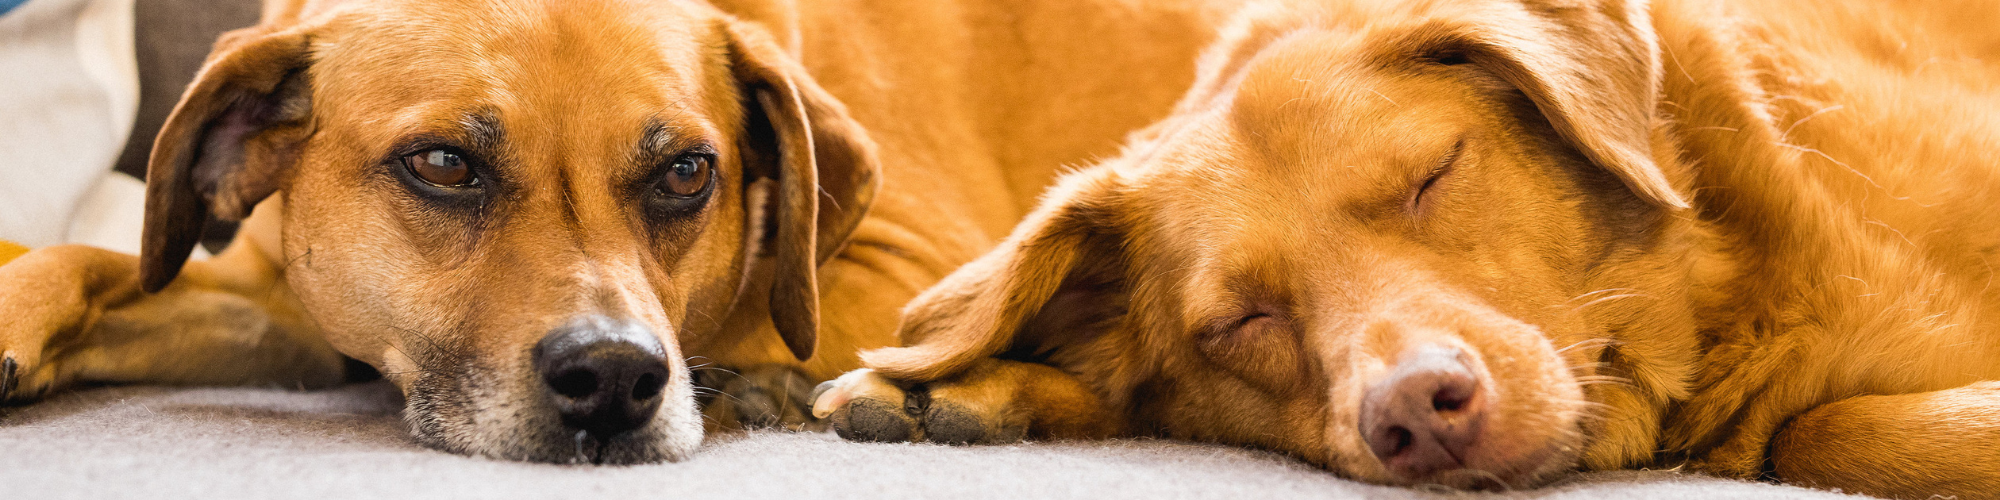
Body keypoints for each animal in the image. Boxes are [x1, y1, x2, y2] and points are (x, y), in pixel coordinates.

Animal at [0, 0, 1248, 462]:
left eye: (687, 172)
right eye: (442, 165)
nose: (610, 378)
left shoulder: (916, 267)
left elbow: (770, 305)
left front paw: (756, 379)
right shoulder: (287, 316)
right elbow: (92, 260)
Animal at [808, 0, 2000, 496]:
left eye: (1431, 176)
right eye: (1237, 320)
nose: (1416, 413)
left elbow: (1819, 427)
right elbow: (1814, 428)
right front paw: (956, 385)